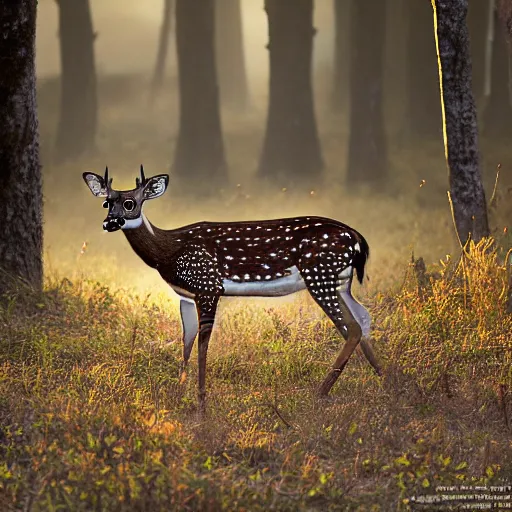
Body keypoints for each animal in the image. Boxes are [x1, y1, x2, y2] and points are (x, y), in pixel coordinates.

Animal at [83, 167, 380, 408]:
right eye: (107, 202)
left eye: (130, 203)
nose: (109, 222)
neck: (168, 252)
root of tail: (358, 238)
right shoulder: (186, 295)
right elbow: (186, 342)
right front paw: (179, 393)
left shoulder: (207, 284)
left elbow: (203, 342)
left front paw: (201, 401)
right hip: (340, 281)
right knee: (364, 318)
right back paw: (385, 380)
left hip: (320, 275)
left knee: (352, 326)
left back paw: (321, 392)